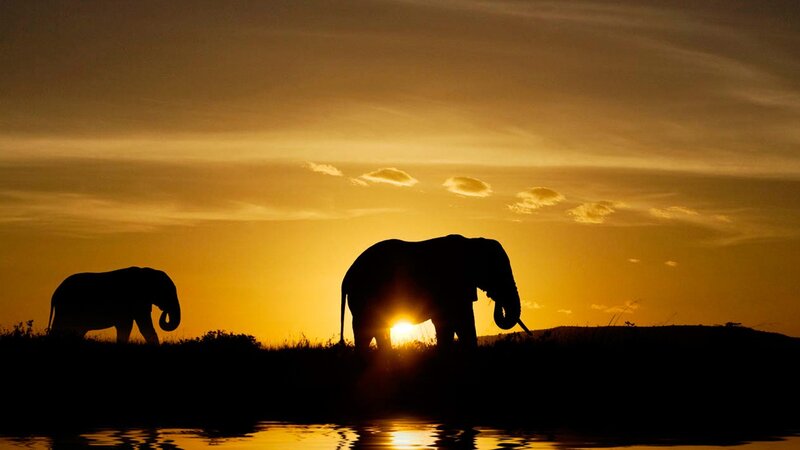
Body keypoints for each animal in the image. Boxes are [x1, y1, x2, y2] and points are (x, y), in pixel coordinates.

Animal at [47, 267, 181, 344]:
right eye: (167, 292)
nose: (165, 311)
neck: (147, 272)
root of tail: (55, 294)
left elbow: (127, 326)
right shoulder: (137, 300)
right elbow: (142, 326)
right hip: (66, 309)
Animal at [339, 234, 530, 350]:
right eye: (497, 272)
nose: (495, 297)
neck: (472, 242)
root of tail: (347, 276)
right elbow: (458, 322)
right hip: (364, 297)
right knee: (366, 330)